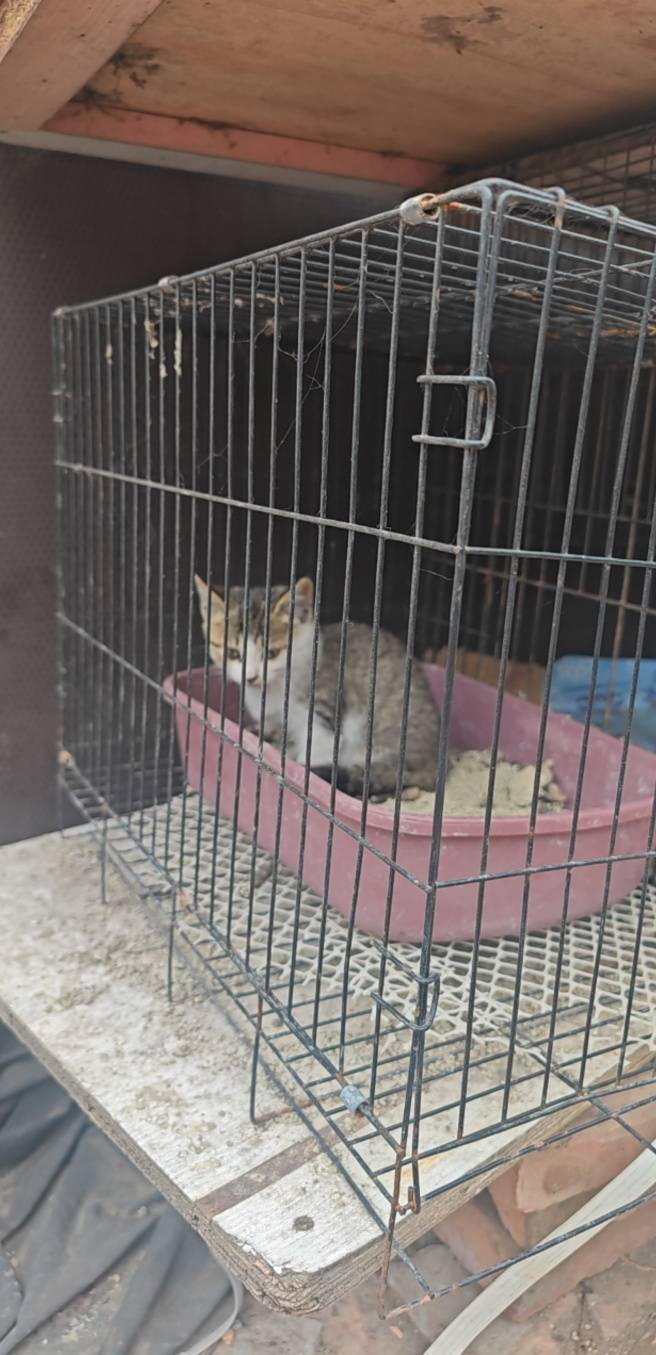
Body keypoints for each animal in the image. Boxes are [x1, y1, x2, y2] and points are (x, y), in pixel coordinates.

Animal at [194, 574, 440, 801]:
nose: (251, 677)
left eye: (272, 653)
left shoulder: (324, 717)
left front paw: (305, 778)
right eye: (233, 653)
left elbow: (314, 752)